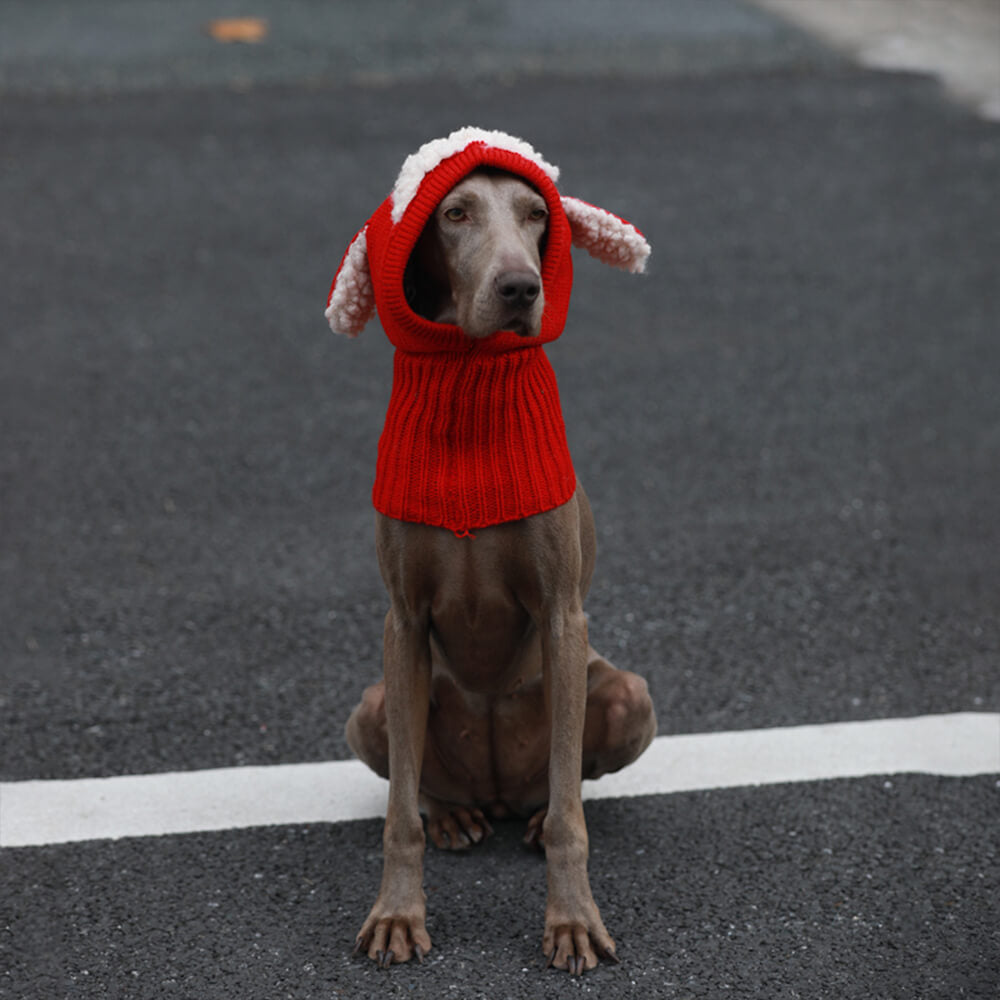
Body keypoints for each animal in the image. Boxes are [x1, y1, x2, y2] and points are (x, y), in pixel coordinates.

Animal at [326, 129, 656, 972]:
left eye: (537, 213)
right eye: (456, 213)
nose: (520, 287)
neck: (470, 385)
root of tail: (499, 795)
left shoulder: (563, 613)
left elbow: (573, 815)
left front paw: (572, 921)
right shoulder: (403, 620)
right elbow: (396, 818)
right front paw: (397, 915)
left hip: (626, 694)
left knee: (565, 786)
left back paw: (533, 818)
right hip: (372, 707)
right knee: (416, 784)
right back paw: (451, 813)